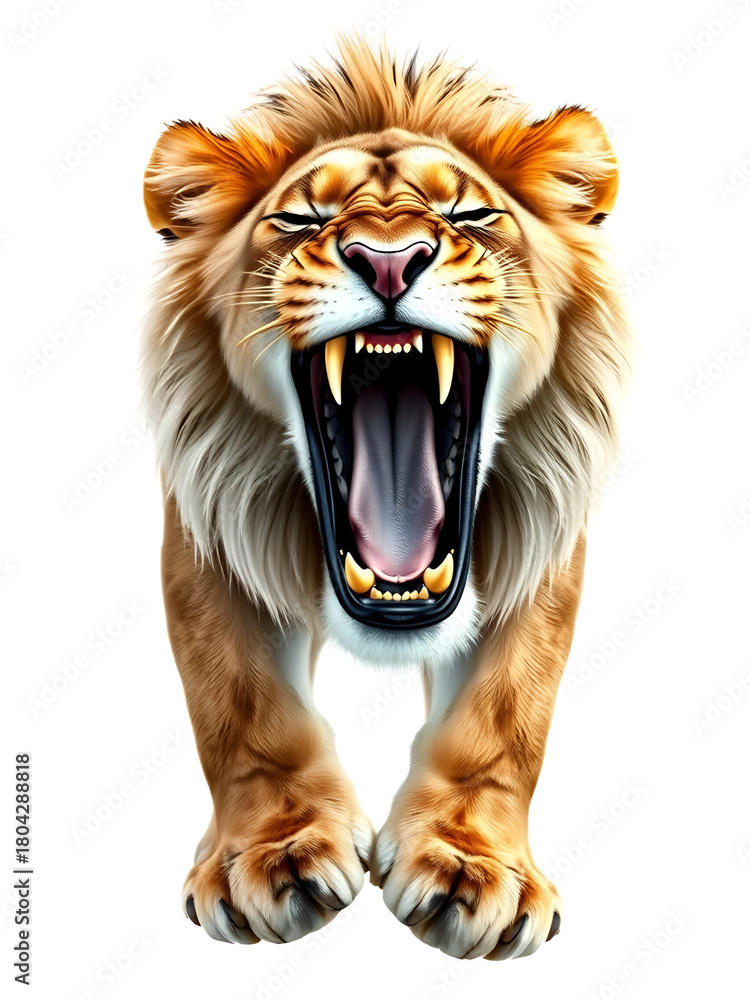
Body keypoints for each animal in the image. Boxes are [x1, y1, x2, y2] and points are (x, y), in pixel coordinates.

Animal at [141, 38, 631, 960]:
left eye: (470, 215)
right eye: (301, 221)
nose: (390, 260)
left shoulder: (544, 541)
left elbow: (504, 713)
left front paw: (474, 870)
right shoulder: (209, 527)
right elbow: (241, 704)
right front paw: (275, 857)